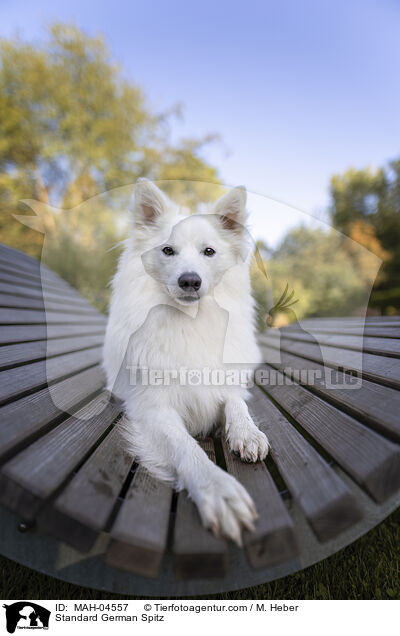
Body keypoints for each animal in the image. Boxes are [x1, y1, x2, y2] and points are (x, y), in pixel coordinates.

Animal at [104, 180, 268, 548]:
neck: (190, 320)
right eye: (168, 251)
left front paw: (247, 432)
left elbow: (236, 404)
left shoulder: (223, 385)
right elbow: (187, 448)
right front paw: (219, 492)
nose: (190, 281)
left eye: (208, 252)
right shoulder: (153, 410)